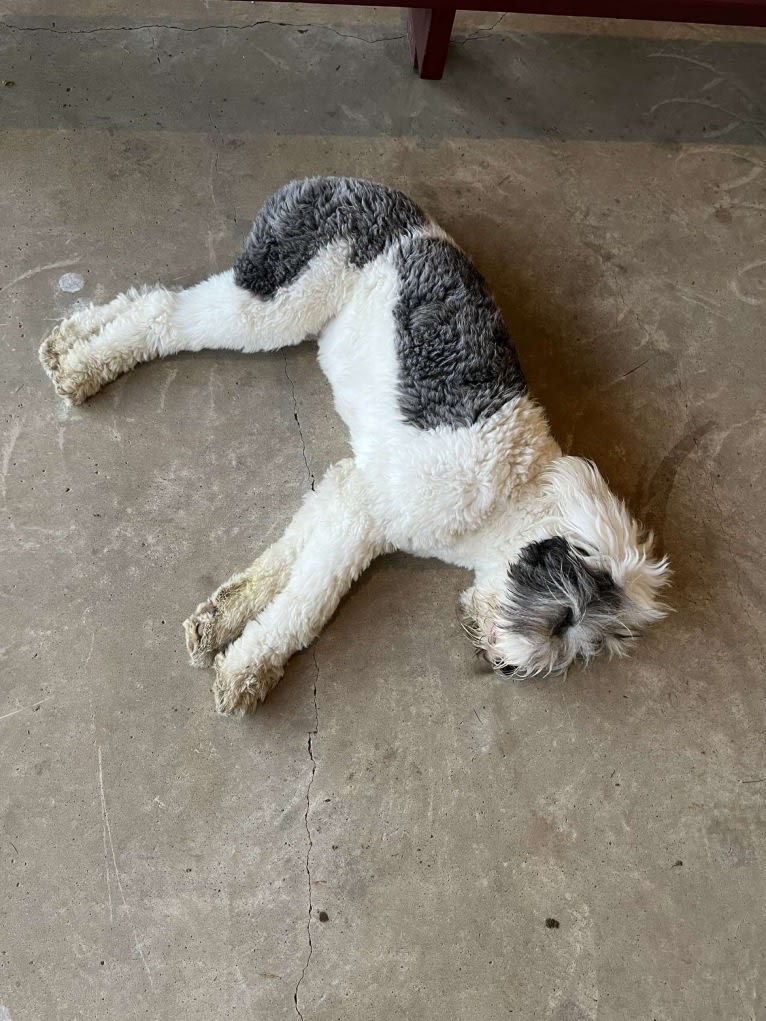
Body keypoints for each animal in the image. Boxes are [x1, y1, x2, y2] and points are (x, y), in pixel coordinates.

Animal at [39, 177, 669, 718]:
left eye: (586, 642)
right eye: (565, 620)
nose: (509, 670)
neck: (513, 493)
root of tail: (344, 182)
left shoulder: (351, 491)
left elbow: (284, 561)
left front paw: (222, 618)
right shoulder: (368, 514)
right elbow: (307, 603)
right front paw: (249, 670)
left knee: (153, 298)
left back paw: (66, 346)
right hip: (275, 309)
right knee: (164, 313)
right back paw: (83, 368)